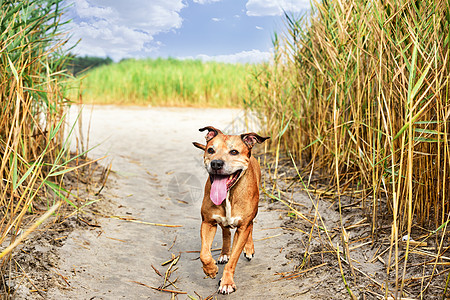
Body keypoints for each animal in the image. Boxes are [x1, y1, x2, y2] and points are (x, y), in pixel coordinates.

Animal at [192, 125, 268, 294]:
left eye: (234, 152)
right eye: (210, 150)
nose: (216, 163)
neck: (228, 194)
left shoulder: (243, 227)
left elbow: (233, 259)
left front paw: (226, 282)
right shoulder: (207, 223)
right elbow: (204, 253)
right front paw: (210, 269)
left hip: (250, 217)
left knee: (250, 228)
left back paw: (249, 248)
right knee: (225, 231)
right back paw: (224, 253)